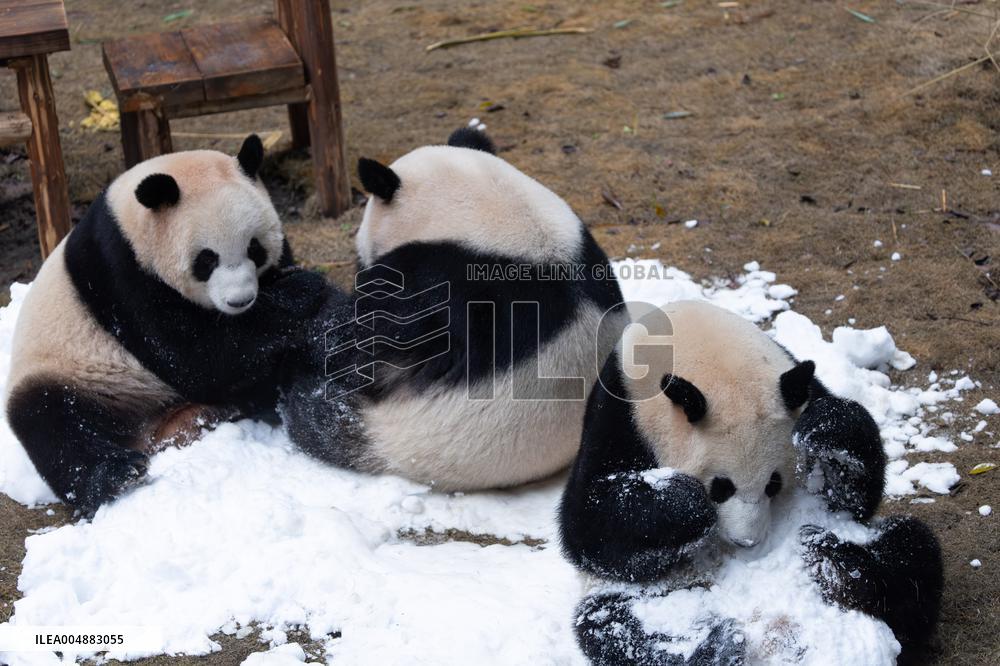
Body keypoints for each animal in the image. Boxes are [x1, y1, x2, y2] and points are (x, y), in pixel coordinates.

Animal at [5, 136, 328, 512]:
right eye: (206, 260)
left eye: (254, 248)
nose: (240, 300)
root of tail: (149, 430)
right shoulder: (123, 275)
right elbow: (195, 355)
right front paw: (300, 289)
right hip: (69, 371)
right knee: (51, 422)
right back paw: (117, 473)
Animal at [558, 300, 944, 665]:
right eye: (721, 487)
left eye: (773, 484)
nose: (747, 542)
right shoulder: (622, 413)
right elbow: (589, 524)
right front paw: (687, 503)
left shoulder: (800, 386)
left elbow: (857, 491)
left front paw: (829, 440)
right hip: (650, 595)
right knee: (616, 625)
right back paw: (716, 646)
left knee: (910, 555)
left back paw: (839, 564)